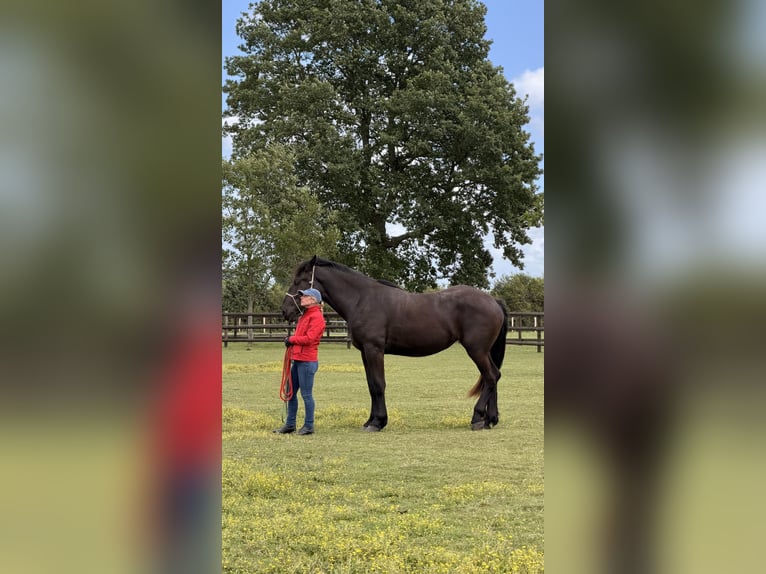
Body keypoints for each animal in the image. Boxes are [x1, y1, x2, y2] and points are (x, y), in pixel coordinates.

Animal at [281, 256, 509, 431]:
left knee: (490, 376)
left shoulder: (374, 350)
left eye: (300, 281)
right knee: (494, 376)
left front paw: (378, 422)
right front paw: (371, 421)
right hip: (484, 351)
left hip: (476, 350)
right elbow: (371, 385)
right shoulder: (365, 352)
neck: (362, 299)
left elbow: (378, 384)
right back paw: (490, 420)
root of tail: (493, 301)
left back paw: (477, 419)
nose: (285, 310)